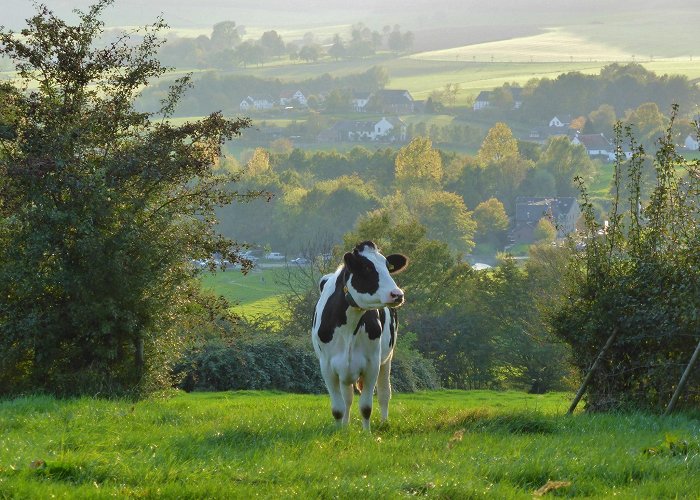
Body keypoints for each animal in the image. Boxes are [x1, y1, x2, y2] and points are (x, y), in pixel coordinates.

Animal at [310, 239, 408, 430]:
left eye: (387, 266)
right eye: (367, 267)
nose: (397, 294)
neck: (349, 327)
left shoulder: (372, 364)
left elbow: (366, 407)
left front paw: (367, 433)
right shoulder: (327, 366)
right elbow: (338, 408)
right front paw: (340, 431)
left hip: (387, 357)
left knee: (384, 393)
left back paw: (384, 423)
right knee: (347, 398)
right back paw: (346, 426)